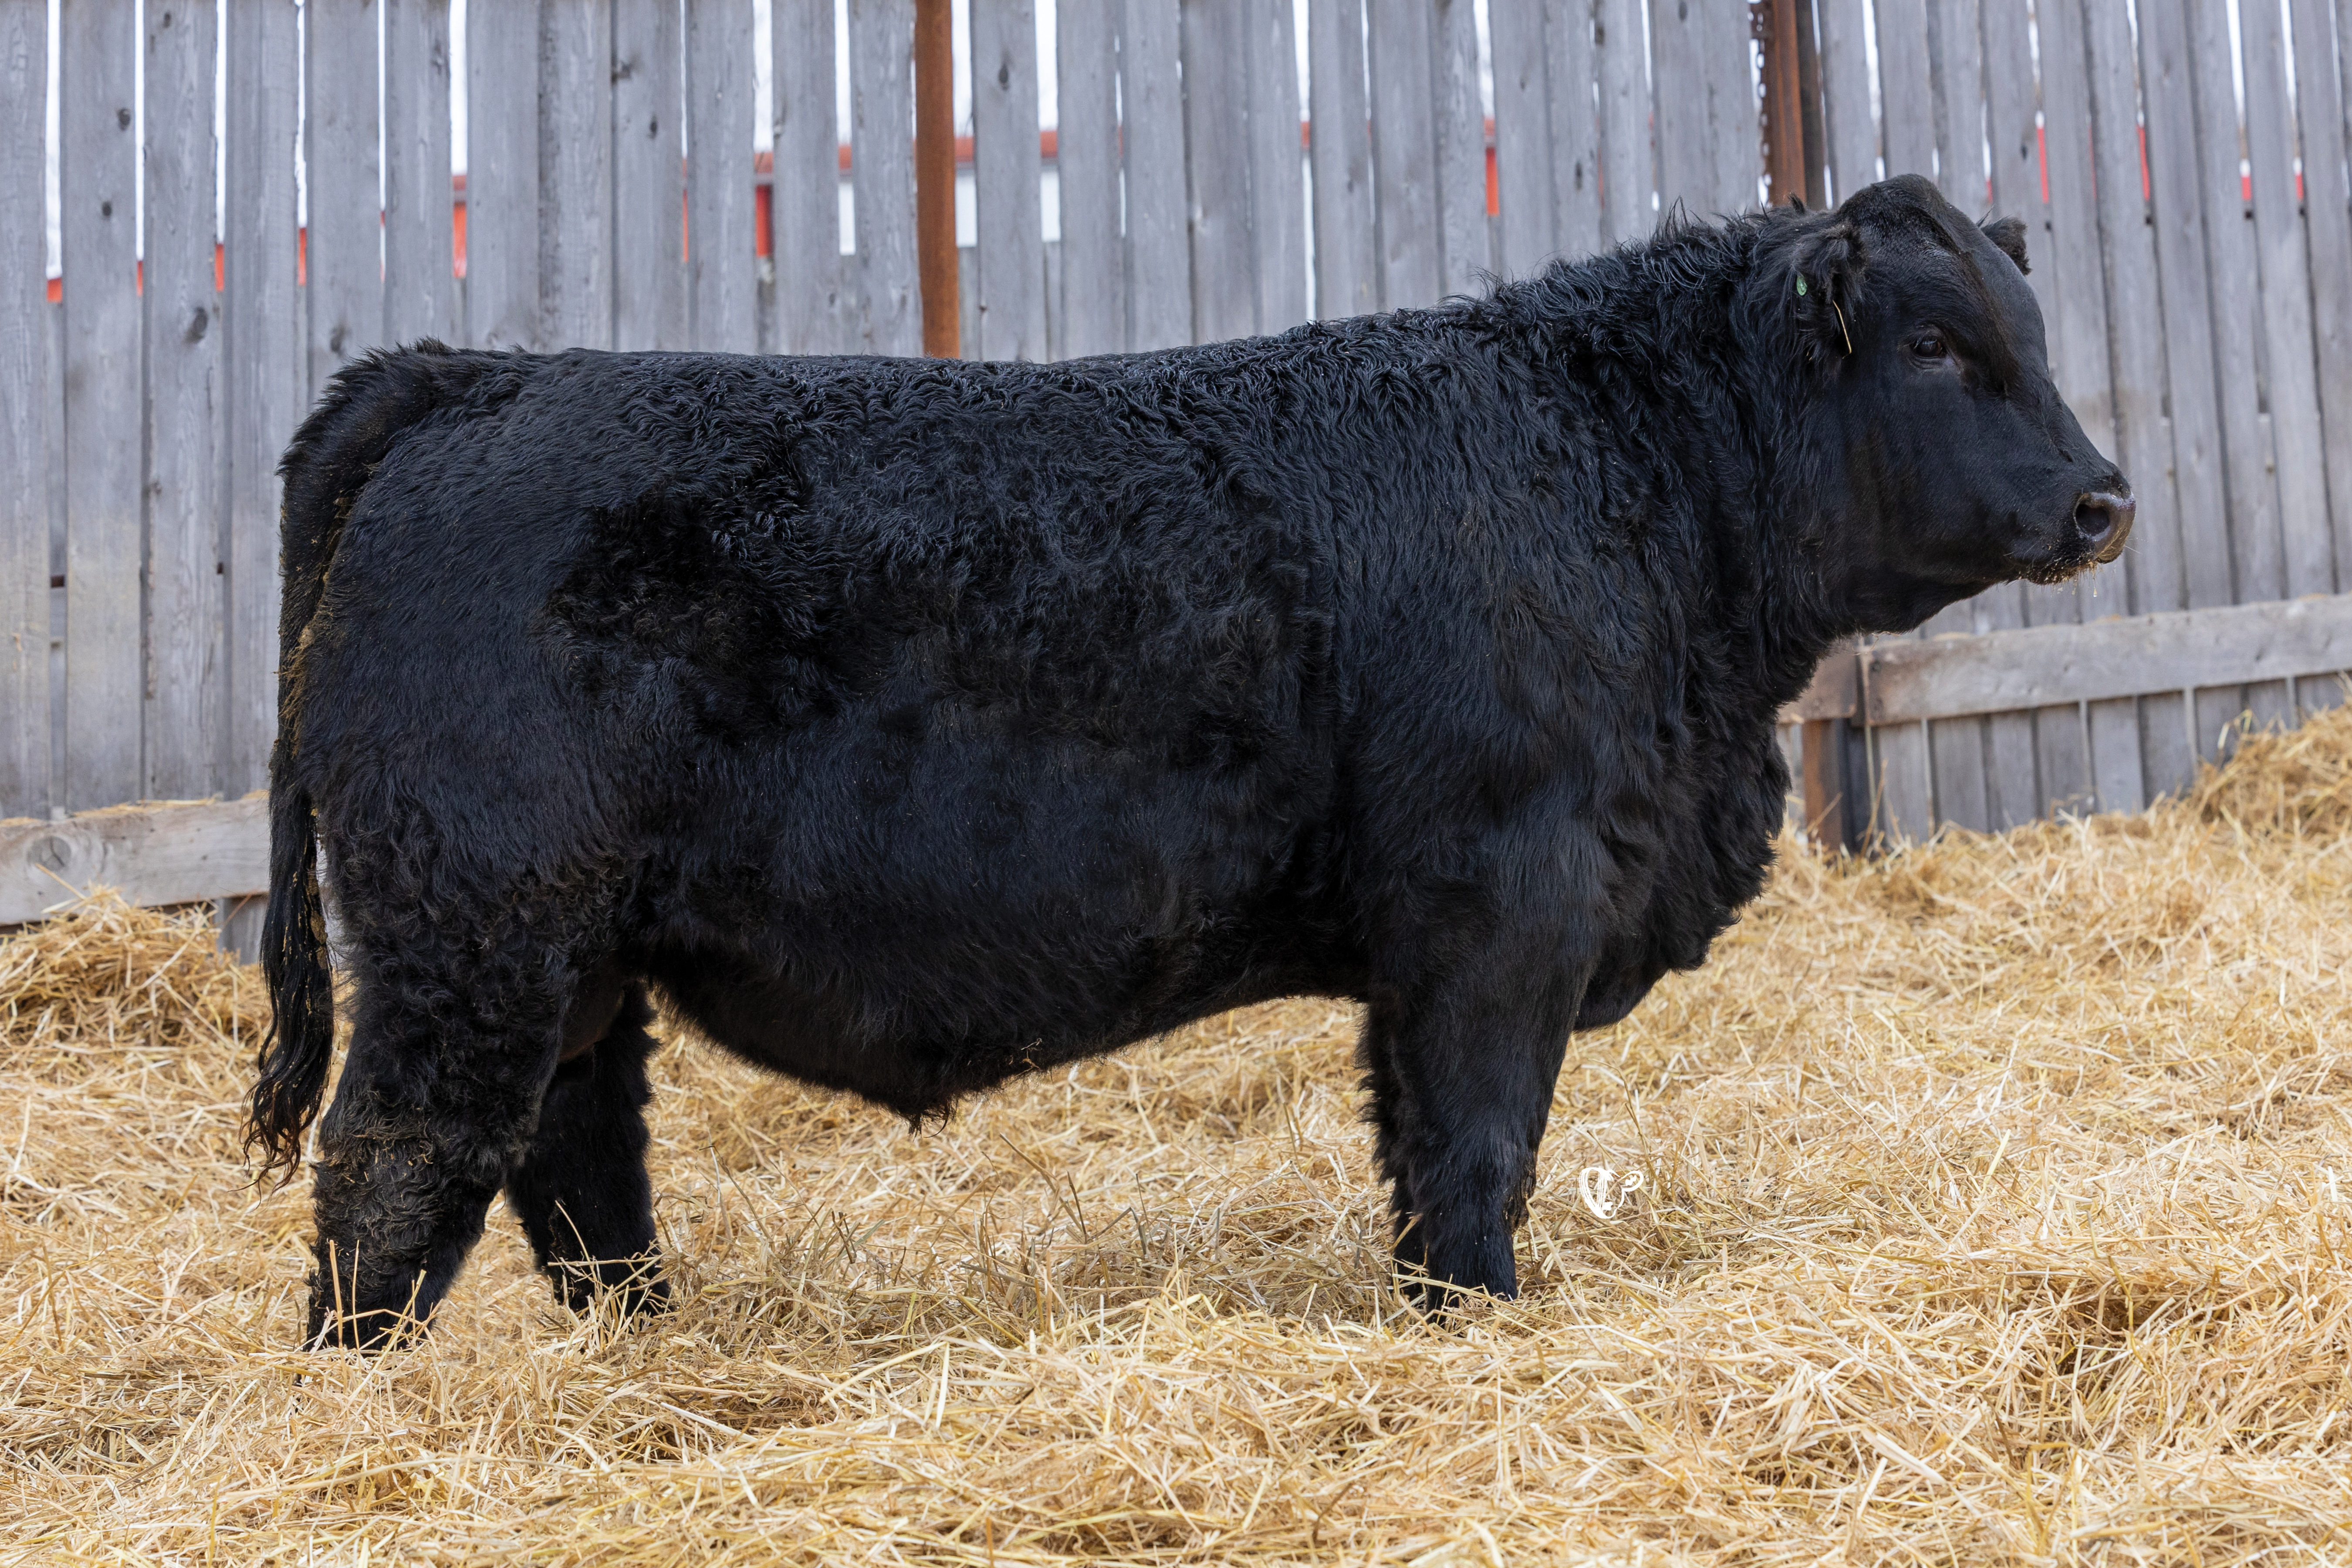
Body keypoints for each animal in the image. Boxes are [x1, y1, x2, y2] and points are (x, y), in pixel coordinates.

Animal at [247, 175, 2131, 1348]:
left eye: (2035, 329)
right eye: (1937, 344)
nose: (2105, 499)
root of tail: (478, 377)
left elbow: (1423, 1149)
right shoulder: (1497, 906)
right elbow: (1474, 1148)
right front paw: (1478, 1322)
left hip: (572, 952)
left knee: (577, 1166)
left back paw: (648, 1353)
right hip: (471, 928)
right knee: (399, 1167)